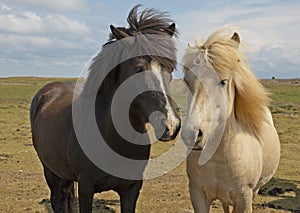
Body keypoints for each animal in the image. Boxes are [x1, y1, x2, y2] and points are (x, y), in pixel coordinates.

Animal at [29, 5, 180, 213]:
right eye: (138, 68)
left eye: (169, 69)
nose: (171, 125)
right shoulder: (86, 187)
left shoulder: (131, 189)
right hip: (50, 169)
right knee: (57, 199)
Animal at [180, 28, 282, 213]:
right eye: (187, 81)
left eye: (223, 81)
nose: (192, 135)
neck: (218, 160)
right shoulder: (197, 195)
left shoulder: (244, 198)